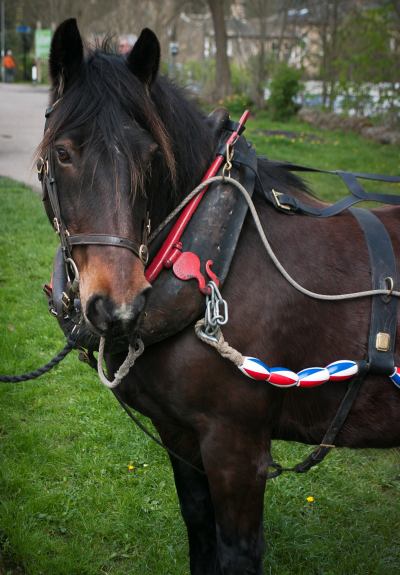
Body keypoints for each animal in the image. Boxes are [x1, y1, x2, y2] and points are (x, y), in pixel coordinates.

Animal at [38, 18, 400, 575]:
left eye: (150, 156)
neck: (218, 246)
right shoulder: (180, 435)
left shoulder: (237, 449)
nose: (119, 306)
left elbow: (236, 551)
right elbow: (200, 533)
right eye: (62, 152)